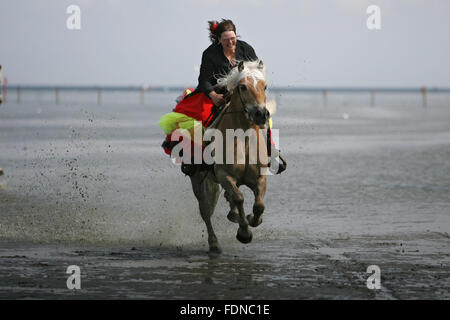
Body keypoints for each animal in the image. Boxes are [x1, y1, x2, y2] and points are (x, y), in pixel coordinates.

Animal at [189, 60, 276, 254]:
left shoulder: (260, 177)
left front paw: (252, 219)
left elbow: (259, 205)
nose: (261, 114)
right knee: (206, 211)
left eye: (265, 86)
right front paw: (244, 233)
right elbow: (239, 198)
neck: (243, 139)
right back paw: (214, 243)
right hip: (200, 181)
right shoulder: (224, 176)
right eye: (243, 87)